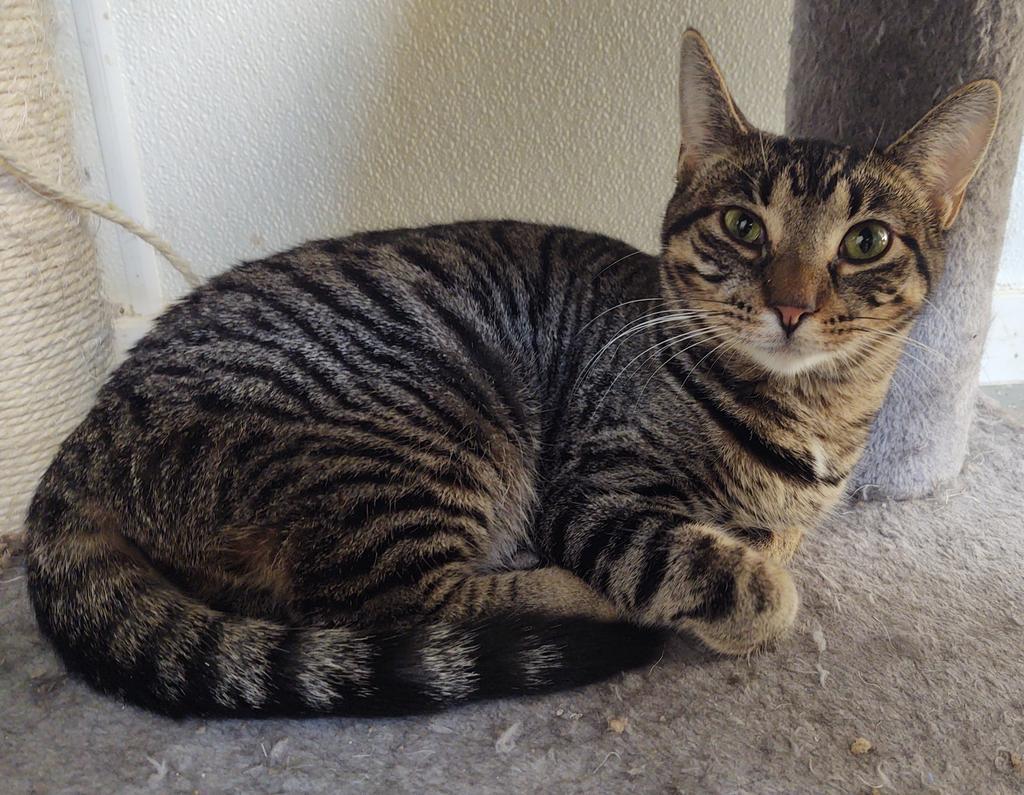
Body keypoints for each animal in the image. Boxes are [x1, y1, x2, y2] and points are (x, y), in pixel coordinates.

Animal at [25, 30, 999, 717]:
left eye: (865, 241)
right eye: (741, 226)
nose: (792, 304)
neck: (814, 415)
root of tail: (86, 434)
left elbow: (772, 539)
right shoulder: (596, 493)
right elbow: (713, 566)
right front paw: (751, 594)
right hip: (428, 430)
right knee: (380, 605)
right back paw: (574, 597)